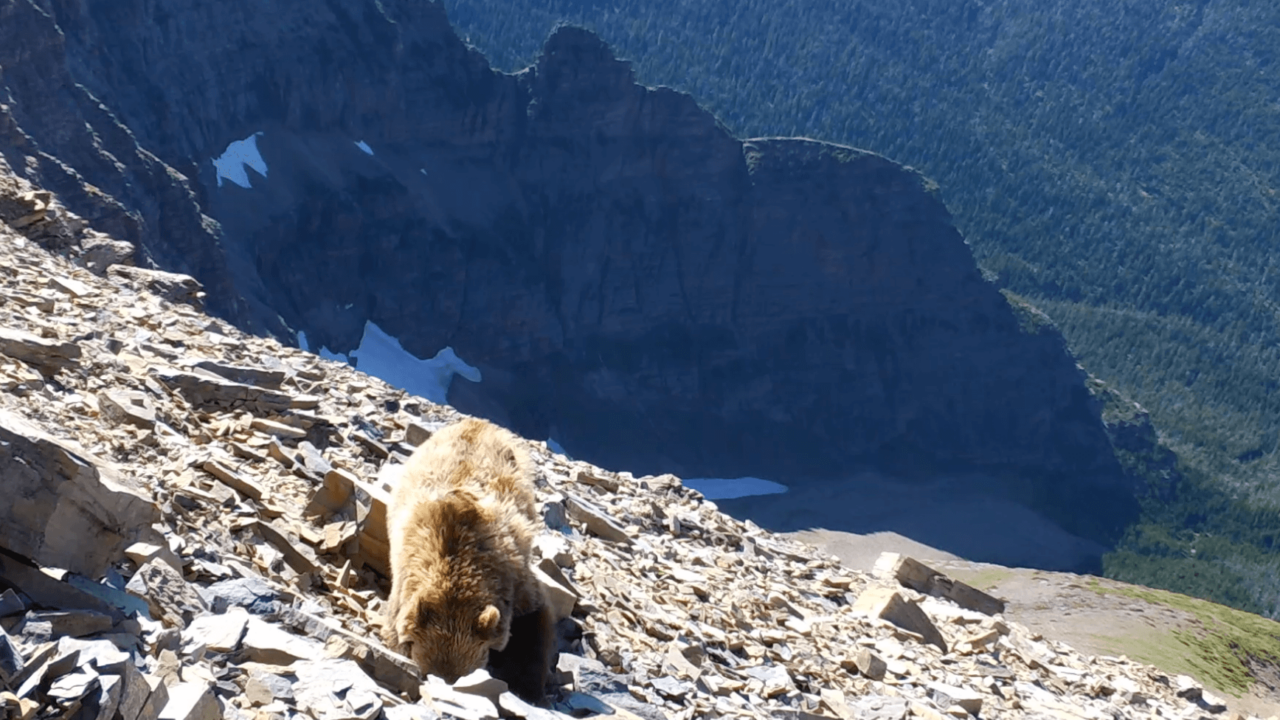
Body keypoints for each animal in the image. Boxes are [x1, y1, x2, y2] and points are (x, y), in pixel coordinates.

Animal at [384, 412, 555, 696]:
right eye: (429, 672)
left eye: (465, 675)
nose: (445, 685)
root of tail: (479, 421)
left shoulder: (515, 579)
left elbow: (535, 617)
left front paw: (529, 689)